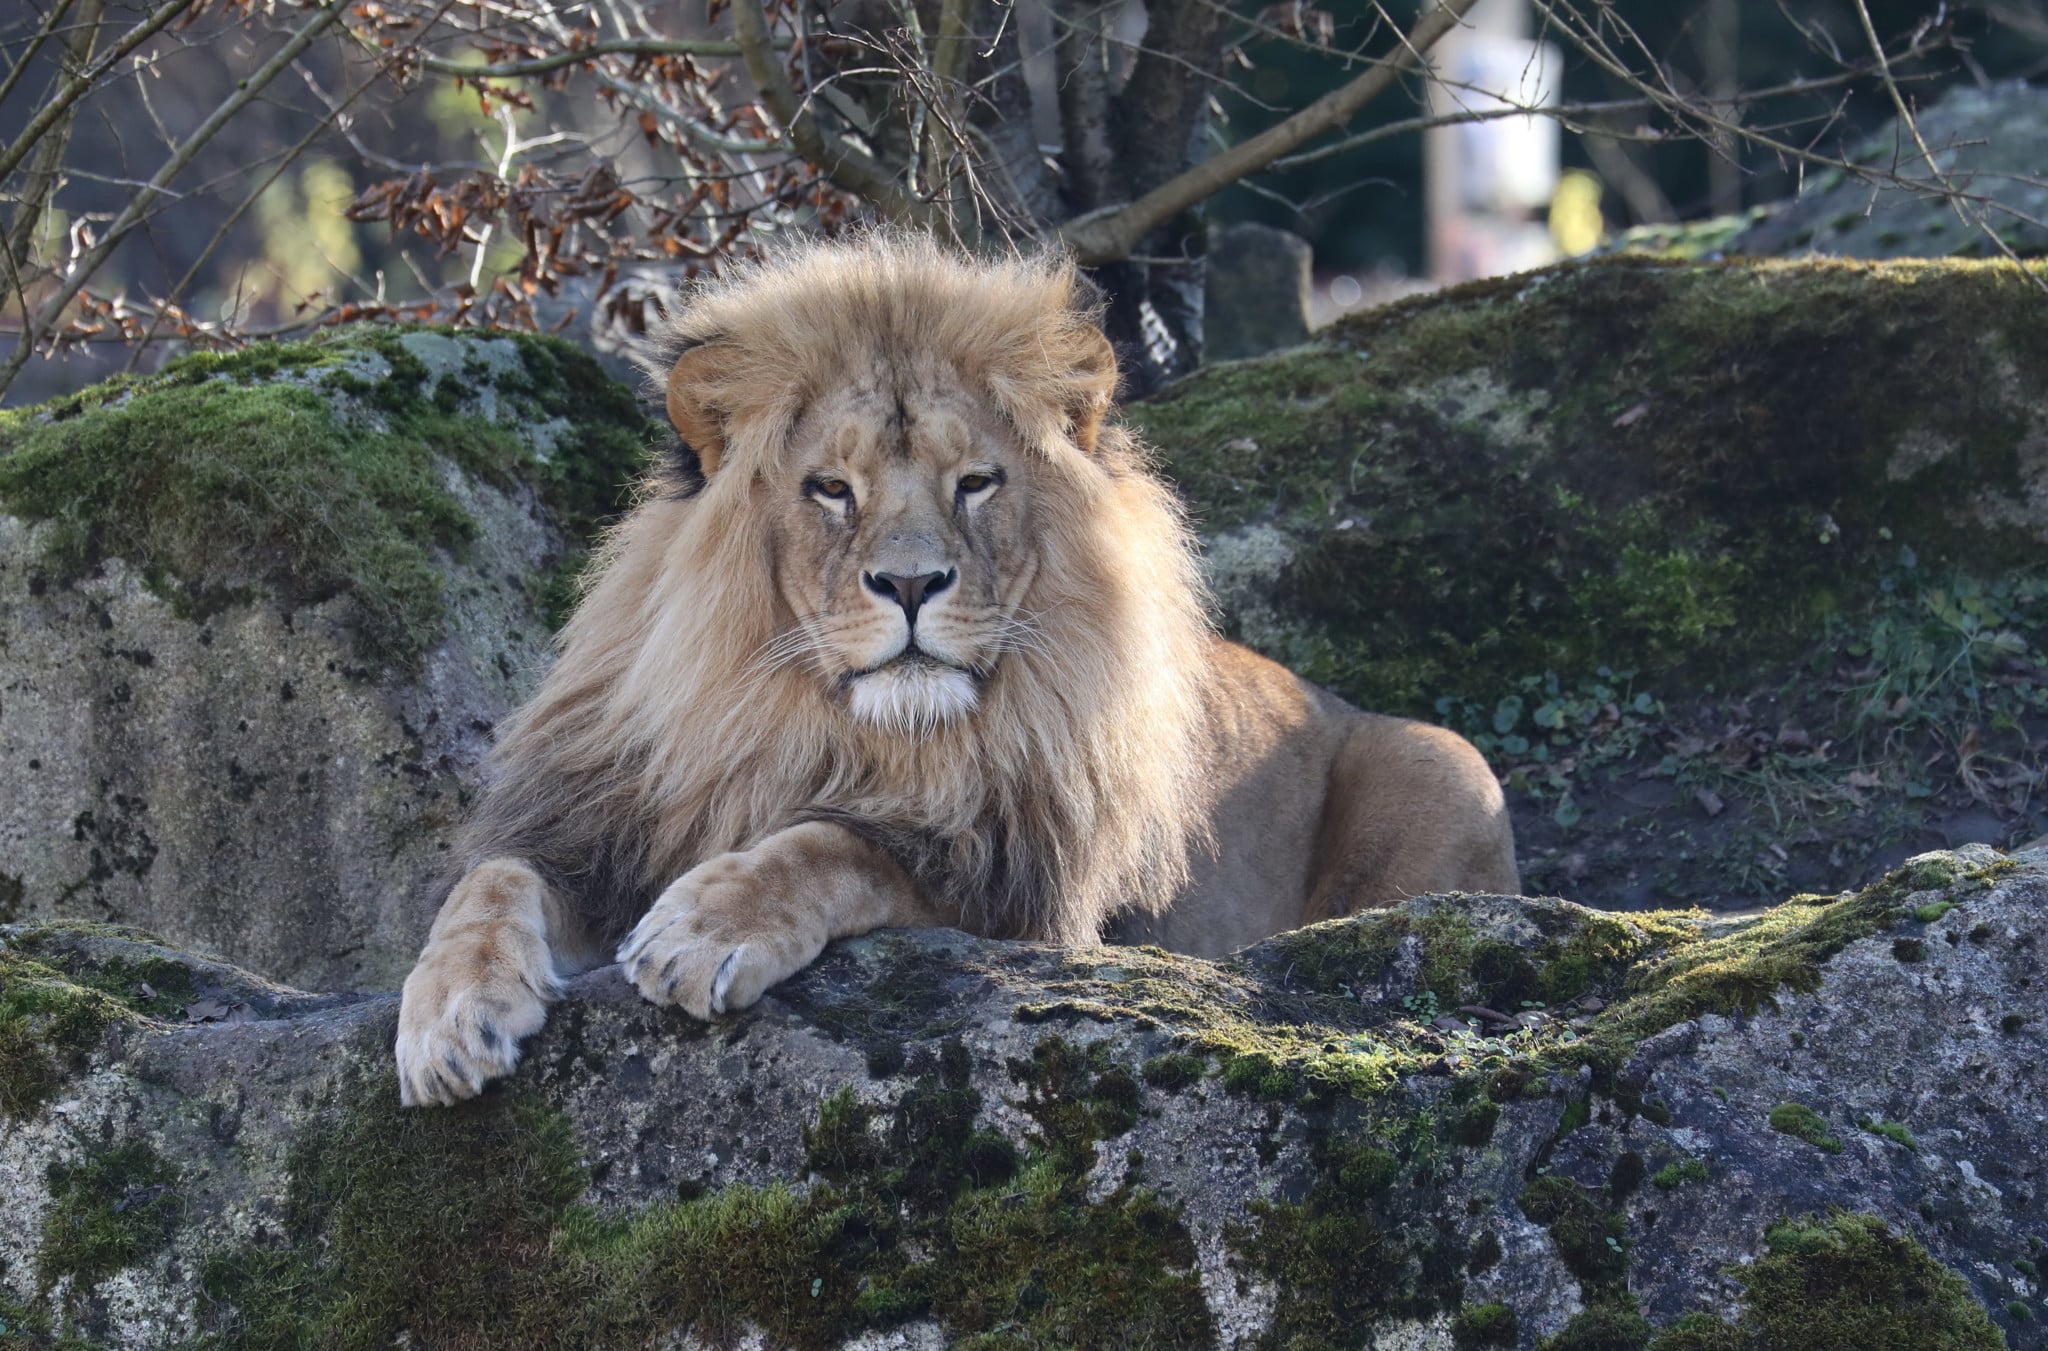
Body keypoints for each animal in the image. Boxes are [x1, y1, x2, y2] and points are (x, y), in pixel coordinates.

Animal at [395, 235, 1517, 1107]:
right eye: (831, 488)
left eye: (975, 482)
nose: (907, 582)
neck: (814, 725)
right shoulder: (602, 828)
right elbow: (492, 879)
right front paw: (447, 1015)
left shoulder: (1017, 897)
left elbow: (838, 844)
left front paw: (705, 927)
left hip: (1446, 760)